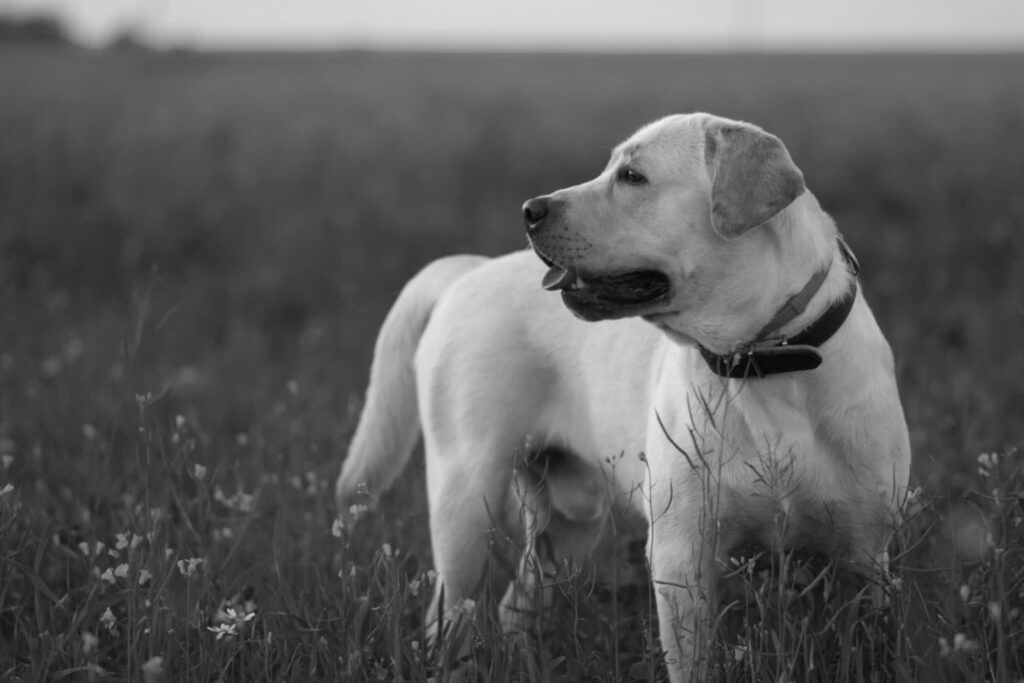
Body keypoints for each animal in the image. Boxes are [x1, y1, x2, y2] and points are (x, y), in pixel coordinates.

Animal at [335, 112, 913, 679]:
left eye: (633, 177)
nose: (530, 209)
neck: (764, 362)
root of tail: (471, 269)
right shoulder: (682, 557)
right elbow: (694, 664)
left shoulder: (864, 557)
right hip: (465, 501)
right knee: (449, 615)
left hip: (570, 520)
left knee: (514, 606)